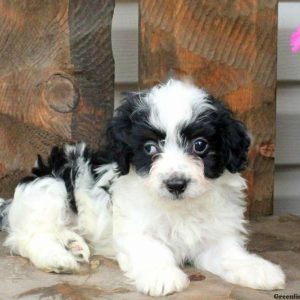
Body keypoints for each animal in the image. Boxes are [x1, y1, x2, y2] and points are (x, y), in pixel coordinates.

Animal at [0, 79, 286, 296]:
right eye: (149, 148)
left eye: (200, 145)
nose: (176, 184)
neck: (179, 209)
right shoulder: (134, 229)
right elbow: (152, 249)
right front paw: (162, 276)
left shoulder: (215, 238)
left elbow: (230, 254)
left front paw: (258, 269)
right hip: (50, 188)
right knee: (28, 237)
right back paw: (57, 258)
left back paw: (73, 244)